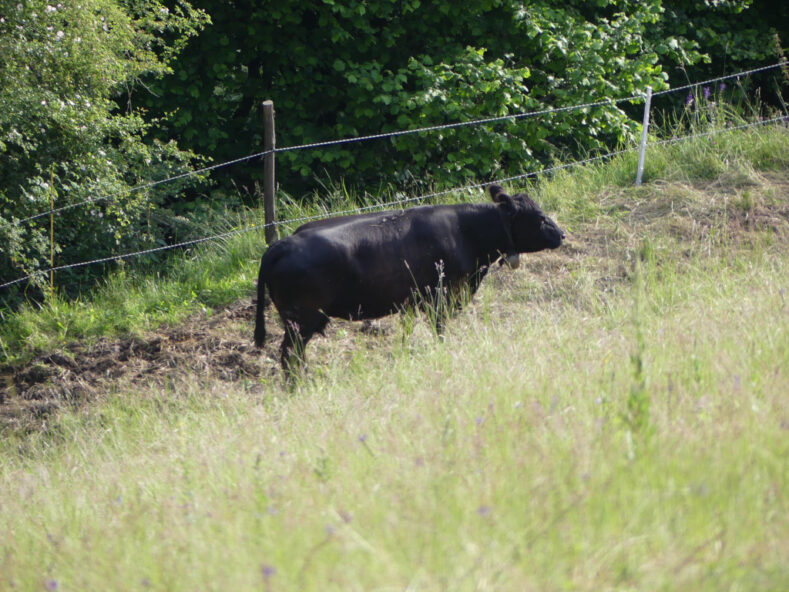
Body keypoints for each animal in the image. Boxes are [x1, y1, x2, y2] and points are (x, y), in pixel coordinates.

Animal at [255, 185, 564, 372]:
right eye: (539, 217)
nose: (562, 234)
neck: (466, 230)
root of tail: (282, 243)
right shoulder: (442, 293)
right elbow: (440, 328)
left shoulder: (412, 299)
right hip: (302, 319)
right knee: (289, 355)